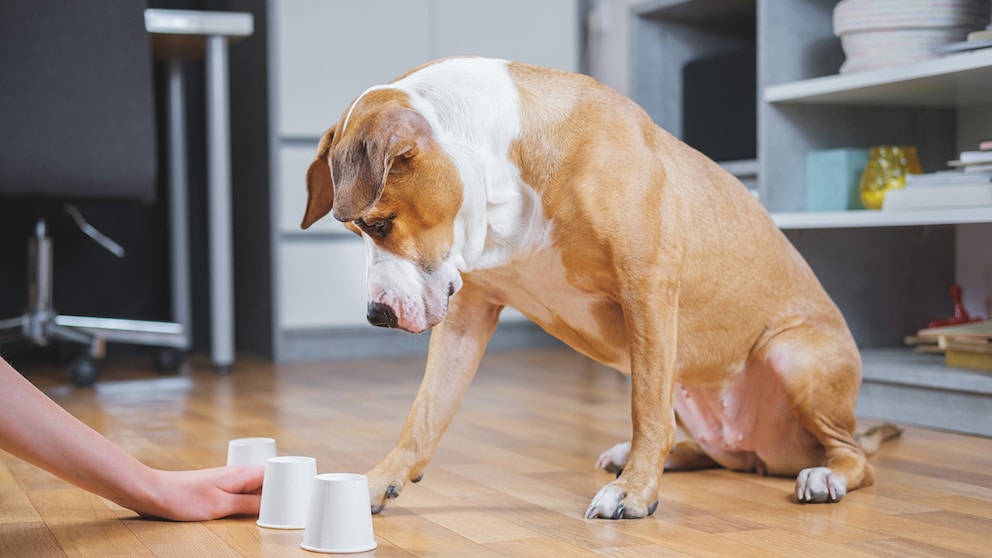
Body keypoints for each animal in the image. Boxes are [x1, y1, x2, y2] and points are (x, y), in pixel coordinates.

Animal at [298, 57, 896, 520]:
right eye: (357, 231)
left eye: (379, 224)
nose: (375, 314)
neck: (505, 169)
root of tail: (767, 453)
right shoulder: (467, 316)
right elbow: (423, 416)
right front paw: (376, 482)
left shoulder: (647, 289)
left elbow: (645, 409)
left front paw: (633, 494)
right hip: (693, 384)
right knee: (707, 446)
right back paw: (656, 456)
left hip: (793, 356)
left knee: (852, 457)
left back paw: (823, 476)